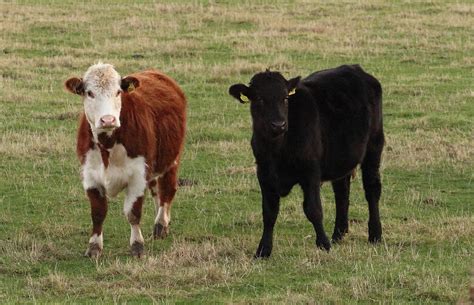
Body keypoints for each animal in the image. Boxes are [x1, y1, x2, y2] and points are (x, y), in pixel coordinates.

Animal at [64, 63, 185, 258]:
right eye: (89, 93)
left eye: (118, 92)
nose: (108, 120)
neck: (108, 144)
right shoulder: (90, 176)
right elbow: (97, 213)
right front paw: (94, 247)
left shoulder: (138, 176)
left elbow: (133, 213)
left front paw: (137, 245)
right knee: (156, 191)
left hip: (171, 160)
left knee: (167, 191)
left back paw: (161, 224)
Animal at [230, 64, 386, 256]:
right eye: (259, 98)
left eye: (285, 98)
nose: (279, 124)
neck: (278, 149)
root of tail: (355, 68)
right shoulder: (264, 174)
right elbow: (269, 212)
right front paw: (263, 250)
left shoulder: (311, 171)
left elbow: (313, 209)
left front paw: (324, 244)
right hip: (341, 158)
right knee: (342, 191)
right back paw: (338, 234)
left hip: (374, 145)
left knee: (372, 189)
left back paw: (375, 234)